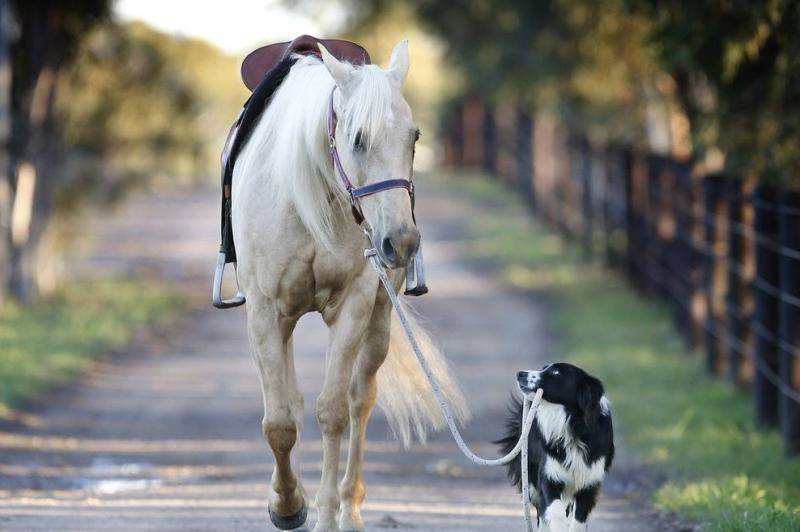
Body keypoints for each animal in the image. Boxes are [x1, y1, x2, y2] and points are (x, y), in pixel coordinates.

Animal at [231, 42, 468, 532]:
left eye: (415, 137)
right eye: (357, 138)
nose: (402, 242)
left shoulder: (354, 306)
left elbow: (334, 412)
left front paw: (323, 514)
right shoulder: (264, 311)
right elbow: (279, 422)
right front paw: (287, 505)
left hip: (379, 318)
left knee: (362, 399)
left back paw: (350, 507)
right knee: (291, 402)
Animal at [496, 364, 616, 528]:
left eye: (556, 372)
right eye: (544, 368)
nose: (520, 373)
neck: (573, 425)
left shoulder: (589, 483)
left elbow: (578, 520)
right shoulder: (550, 477)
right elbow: (555, 510)